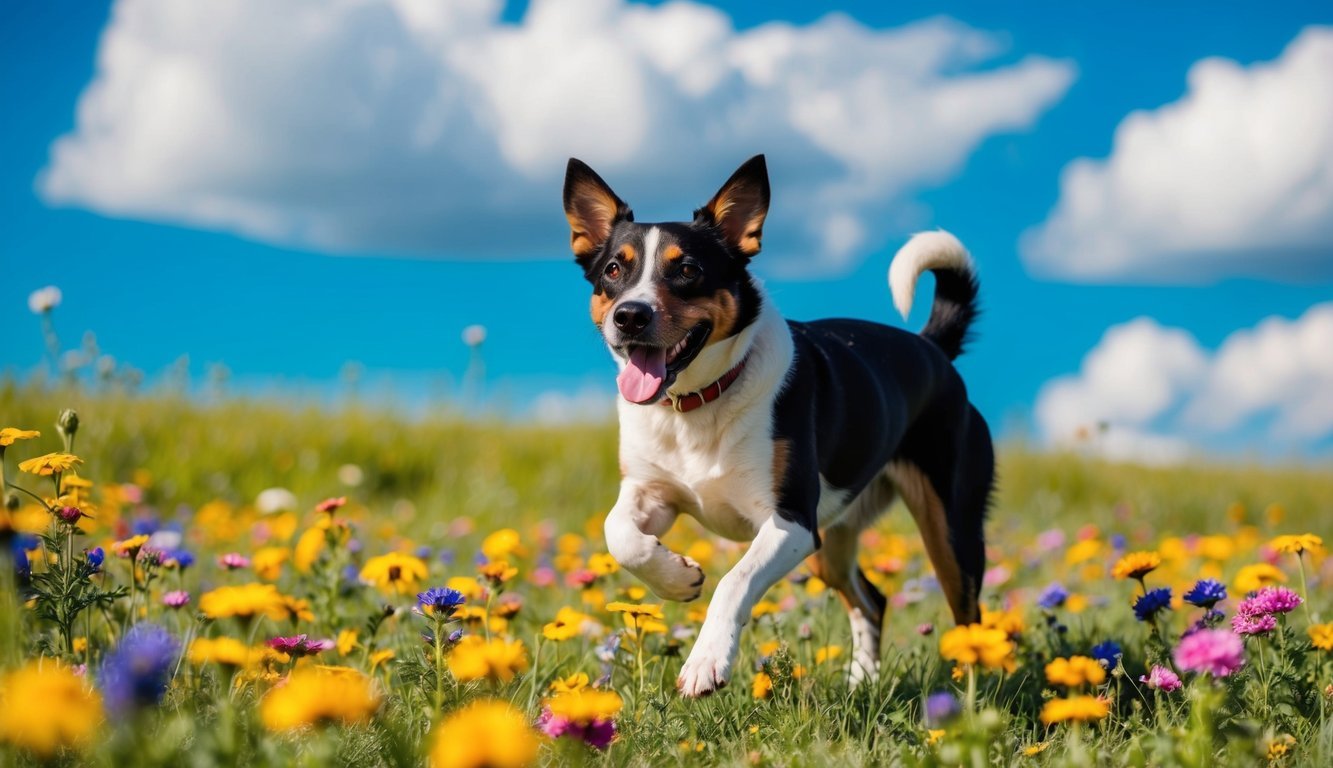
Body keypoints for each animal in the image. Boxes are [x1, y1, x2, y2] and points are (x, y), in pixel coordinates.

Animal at [559, 154, 991, 693]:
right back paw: (862, 683)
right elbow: (618, 534)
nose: (630, 316)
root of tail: (932, 347)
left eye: (687, 269)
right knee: (872, 600)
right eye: (614, 269)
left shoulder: (792, 522)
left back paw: (970, 695)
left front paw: (707, 662)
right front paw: (677, 578)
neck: (695, 404)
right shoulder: (652, 492)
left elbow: (734, 581)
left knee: (969, 616)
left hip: (948, 527)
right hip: (834, 537)